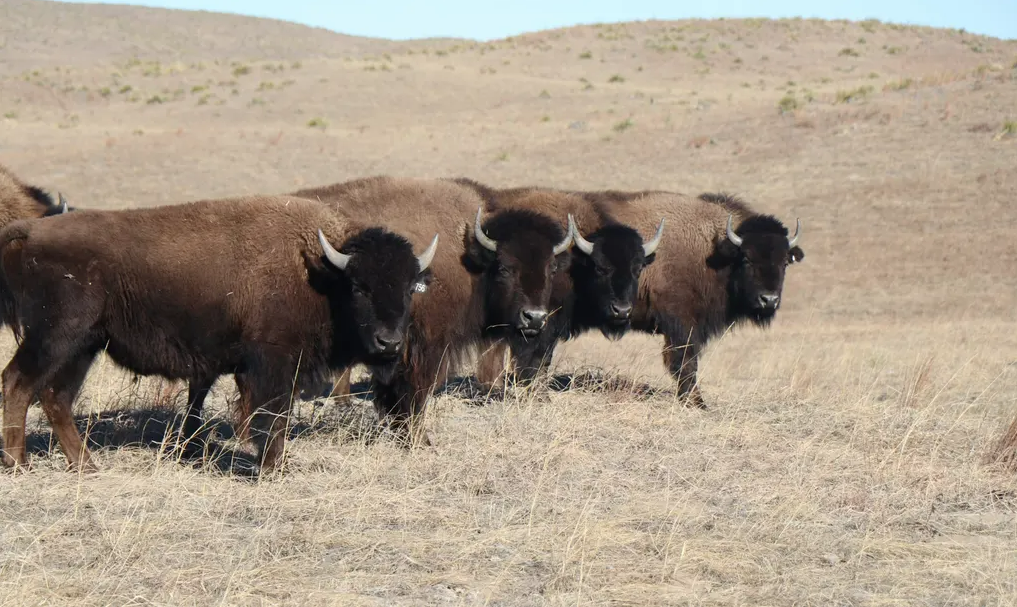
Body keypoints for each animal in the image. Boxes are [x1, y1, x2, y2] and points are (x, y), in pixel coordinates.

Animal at [0, 195, 437, 472]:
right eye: (360, 287)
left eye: (408, 288)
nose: (389, 342)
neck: (320, 273)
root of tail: (31, 232)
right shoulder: (272, 364)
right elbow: (272, 416)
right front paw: (274, 468)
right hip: (54, 339)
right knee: (18, 384)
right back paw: (19, 464)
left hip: (83, 346)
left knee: (55, 397)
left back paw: (85, 466)